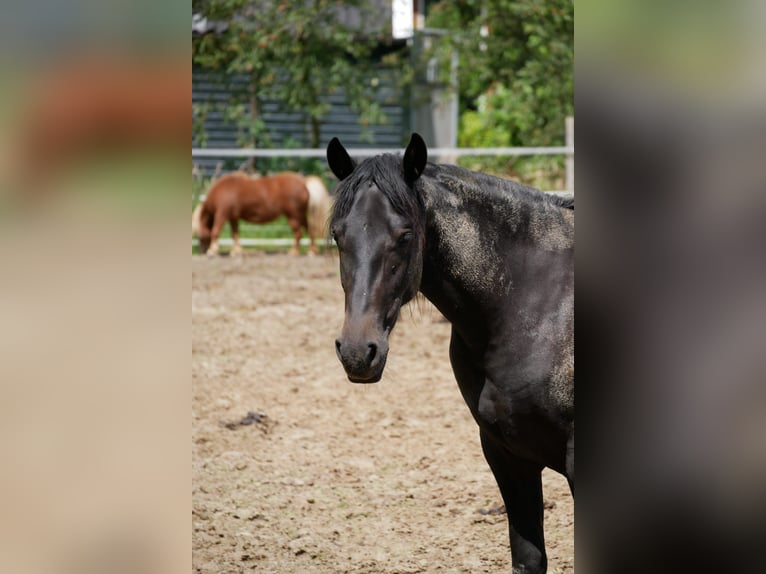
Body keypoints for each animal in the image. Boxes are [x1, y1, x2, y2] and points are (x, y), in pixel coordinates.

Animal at [192, 172, 330, 258]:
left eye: (200, 236)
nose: (201, 251)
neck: (224, 190)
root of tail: (303, 182)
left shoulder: (222, 214)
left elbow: (215, 231)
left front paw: (212, 251)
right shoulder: (233, 217)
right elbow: (235, 234)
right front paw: (236, 251)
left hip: (293, 216)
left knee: (298, 233)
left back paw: (293, 252)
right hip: (300, 216)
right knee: (309, 230)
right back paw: (311, 251)